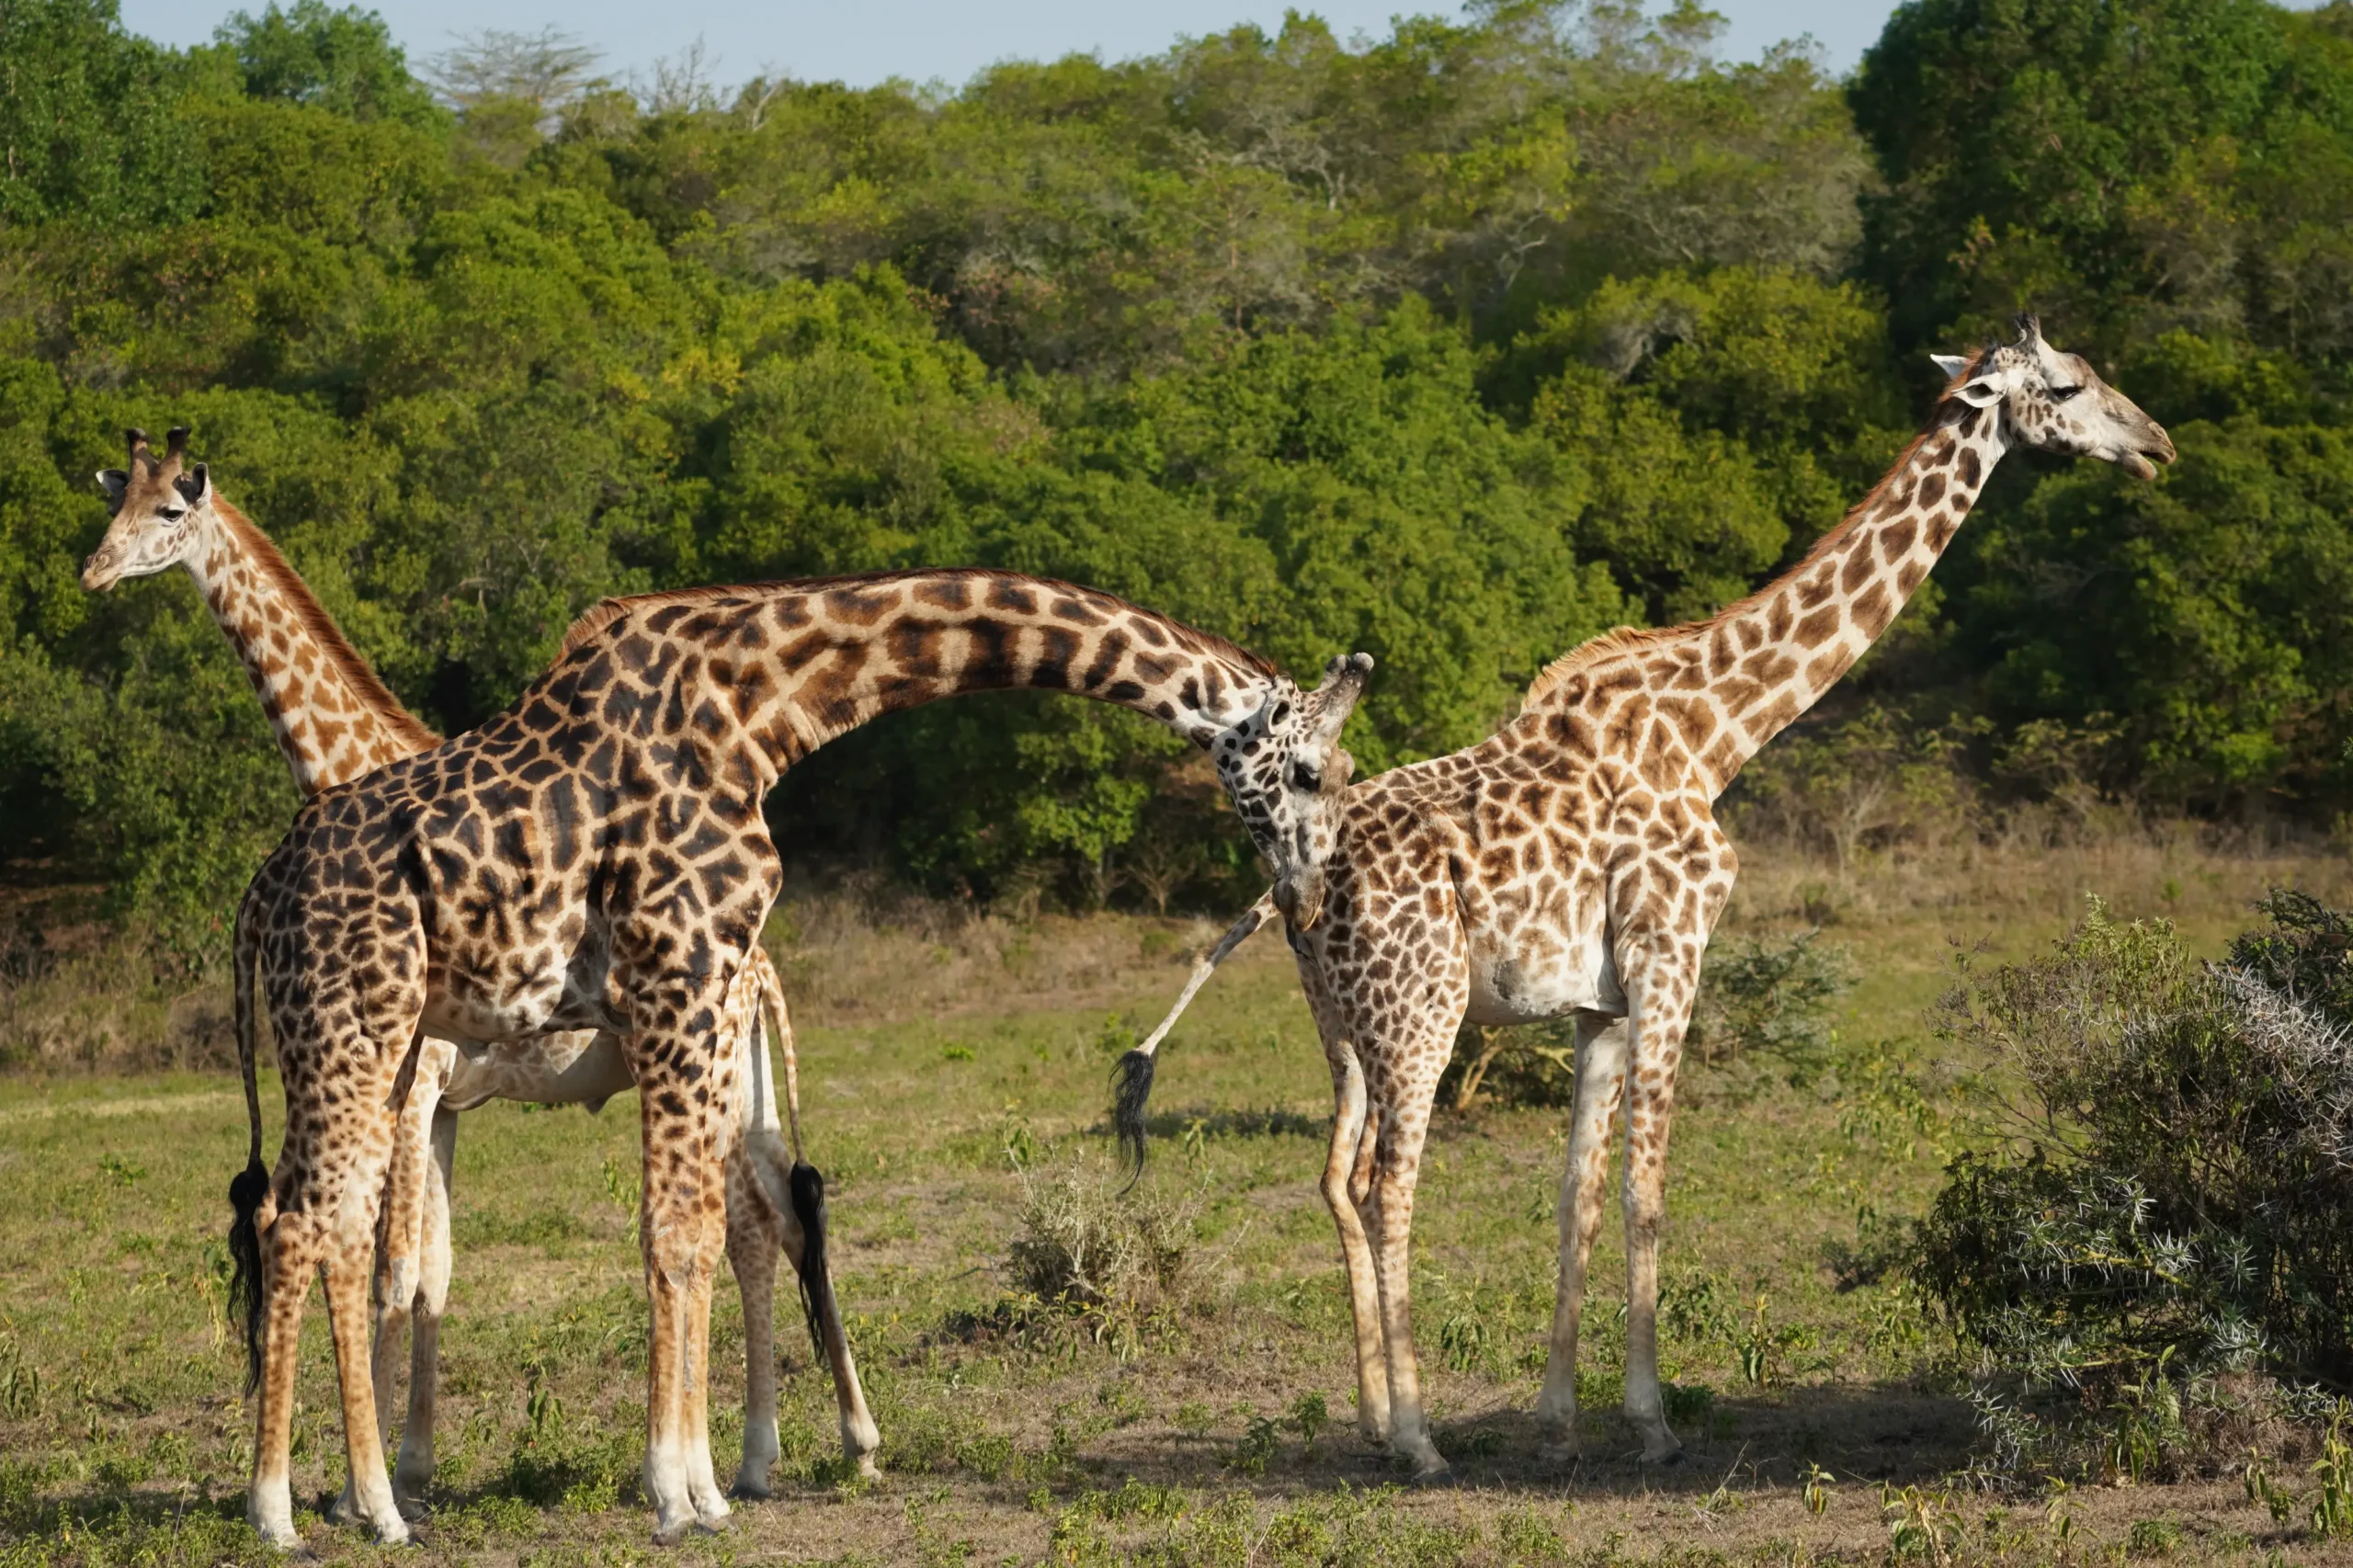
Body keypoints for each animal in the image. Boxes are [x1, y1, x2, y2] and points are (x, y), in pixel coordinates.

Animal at [79, 426, 881, 1511]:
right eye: (113, 501)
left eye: (169, 511)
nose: (93, 569)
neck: (349, 764)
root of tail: (765, 968)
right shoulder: (441, 1100)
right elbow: (429, 1269)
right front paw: (393, 1464)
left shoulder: (416, 1083)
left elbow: (393, 1266)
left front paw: (372, 1480)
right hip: (733, 1077)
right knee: (771, 1215)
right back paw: (779, 1453)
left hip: (711, 1065)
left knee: (759, 1219)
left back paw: (795, 1449)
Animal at [222, 565, 1372, 1546]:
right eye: (1312, 769)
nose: (1309, 893)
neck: (762, 709)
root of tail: (262, 890)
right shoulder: (679, 972)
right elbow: (673, 1233)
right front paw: (680, 1492)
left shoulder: (687, 994)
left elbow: (688, 1232)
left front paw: (700, 1483)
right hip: (357, 1028)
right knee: (308, 1226)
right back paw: (306, 1509)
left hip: (360, 1044)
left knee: (307, 1220)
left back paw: (342, 1501)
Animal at [1112, 317, 2174, 1478]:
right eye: (2066, 385)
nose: (2155, 444)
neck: (1716, 728)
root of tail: (1286, 888)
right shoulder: (1673, 952)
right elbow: (1646, 1189)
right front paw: (1651, 1419)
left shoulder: (1598, 1001)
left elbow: (1576, 1193)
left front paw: (1556, 1417)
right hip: (1419, 1015)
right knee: (1390, 1186)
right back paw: (1419, 1438)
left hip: (1340, 1023)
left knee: (1337, 1177)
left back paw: (1371, 1416)